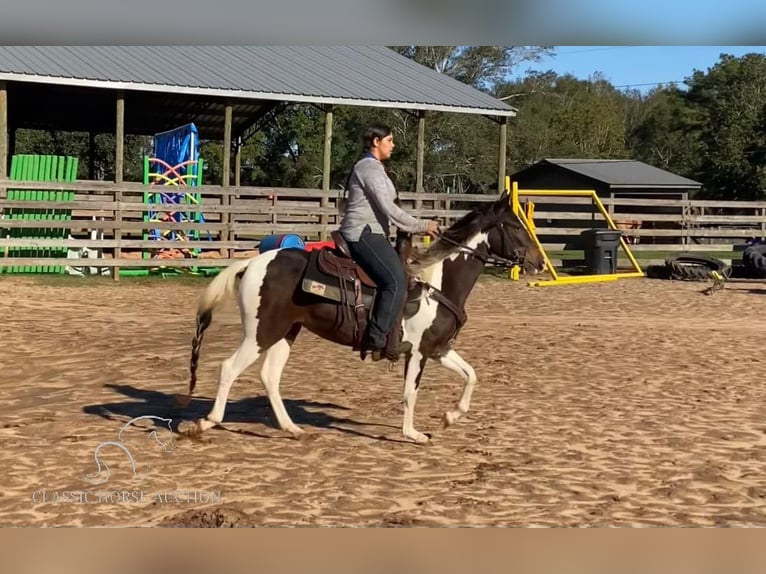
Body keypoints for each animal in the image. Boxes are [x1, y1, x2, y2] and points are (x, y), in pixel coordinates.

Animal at [178, 192, 544, 446]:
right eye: (516, 226)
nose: (539, 263)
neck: (437, 283)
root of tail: (252, 263)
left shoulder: (438, 348)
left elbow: (471, 375)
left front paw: (449, 417)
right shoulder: (419, 352)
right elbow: (410, 392)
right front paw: (413, 434)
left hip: (286, 331)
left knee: (270, 377)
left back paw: (294, 429)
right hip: (261, 332)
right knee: (229, 368)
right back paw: (204, 423)